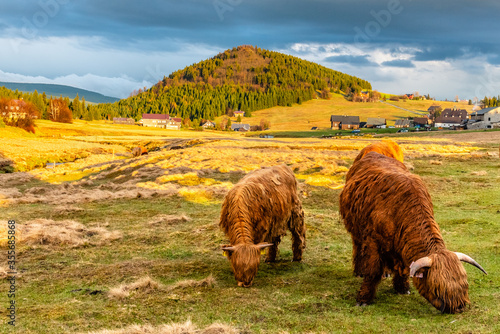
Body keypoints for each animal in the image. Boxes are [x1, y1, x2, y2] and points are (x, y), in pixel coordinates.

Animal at [338, 152, 486, 314]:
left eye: (464, 285)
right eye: (438, 288)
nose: (458, 307)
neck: (401, 210)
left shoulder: (402, 245)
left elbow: (403, 269)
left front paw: (402, 288)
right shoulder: (373, 241)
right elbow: (373, 271)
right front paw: (363, 299)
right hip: (356, 230)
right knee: (357, 247)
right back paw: (359, 271)